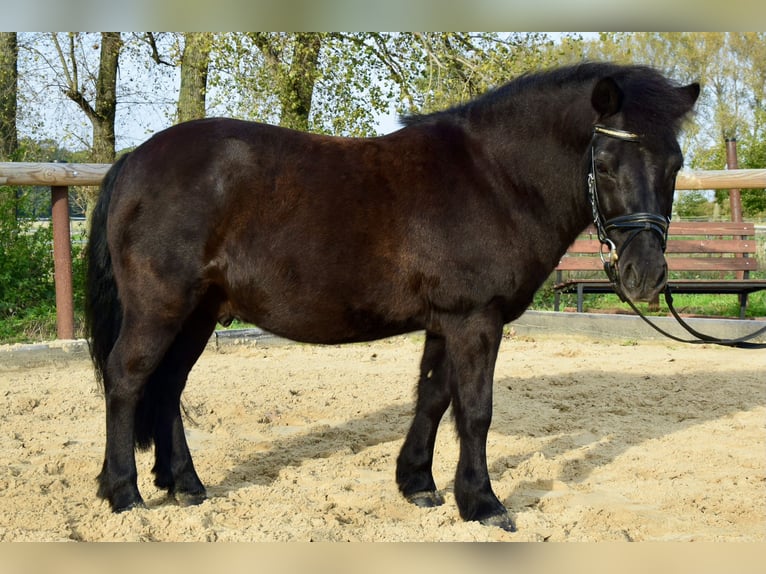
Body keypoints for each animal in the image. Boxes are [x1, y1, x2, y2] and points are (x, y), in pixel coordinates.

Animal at [87, 62, 700, 532]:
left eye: (675, 165)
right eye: (605, 165)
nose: (646, 274)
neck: (494, 178)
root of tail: (135, 160)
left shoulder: (447, 320)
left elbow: (432, 397)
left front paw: (418, 483)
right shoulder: (476, 320)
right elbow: (475, 411)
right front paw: (482, 503)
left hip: (198, 313)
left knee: (167, 386)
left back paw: (185, 485)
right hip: (161, 308)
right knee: (127, 379)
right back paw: (124, 493)